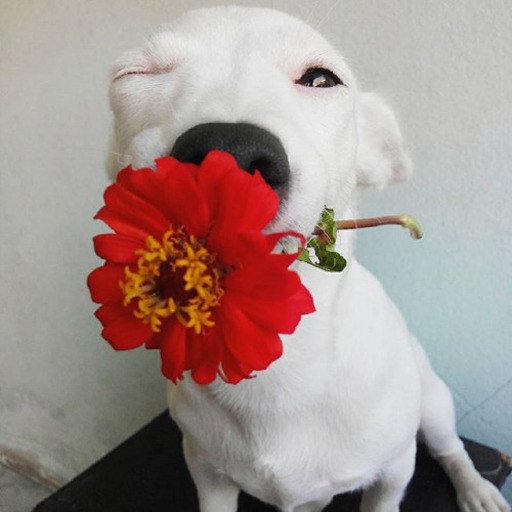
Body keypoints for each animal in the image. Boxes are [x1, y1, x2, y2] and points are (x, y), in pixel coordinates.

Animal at [107, 7, 508, 512]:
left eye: (321, 78)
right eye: (136, 74)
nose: (230, 153)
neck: (280, 359)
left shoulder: (393, 473)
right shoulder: (207, 472)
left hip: (433, 405)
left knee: (449, 446)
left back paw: (476, 488)